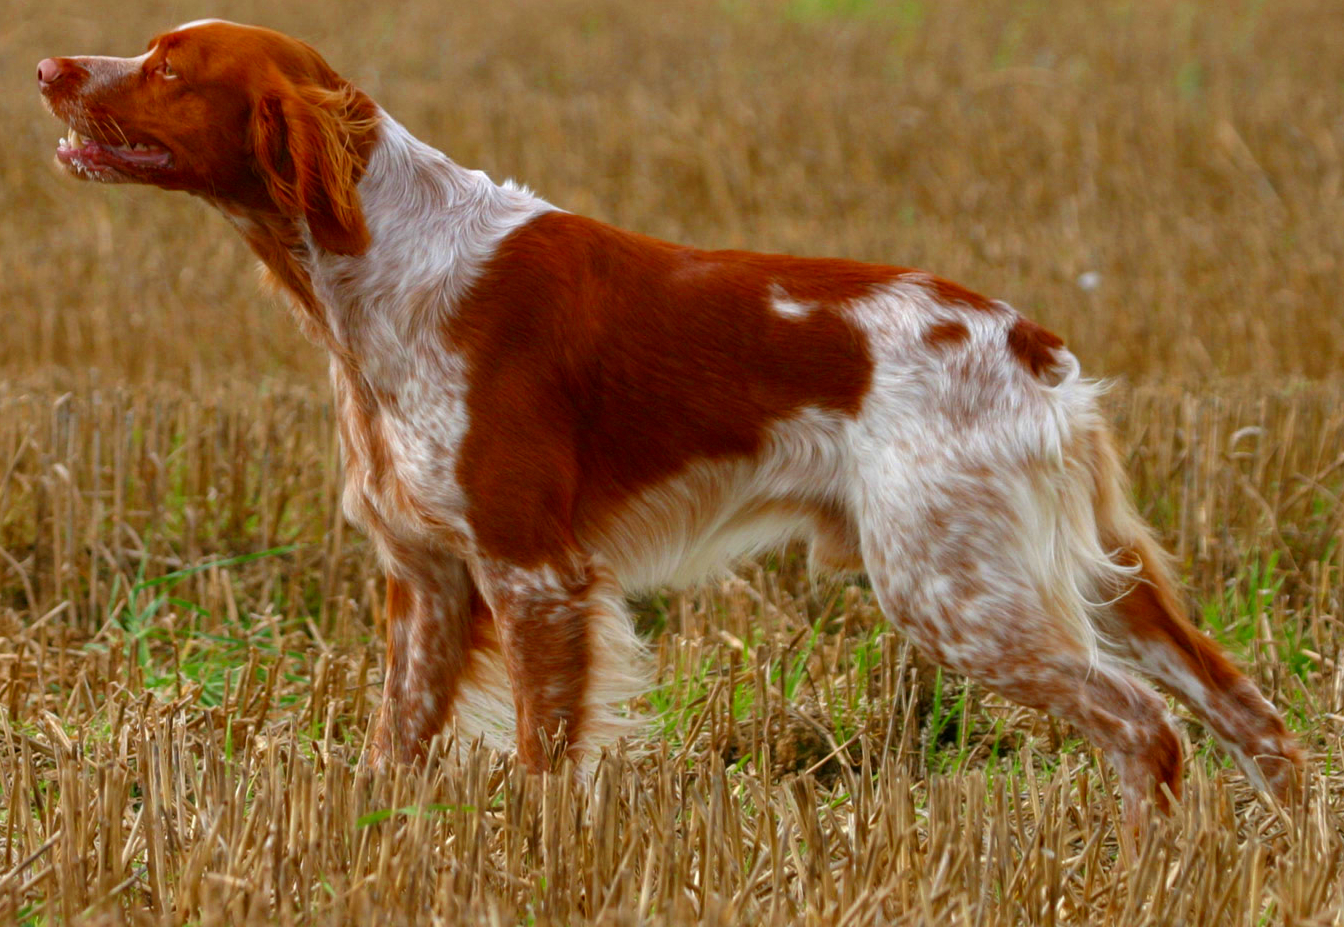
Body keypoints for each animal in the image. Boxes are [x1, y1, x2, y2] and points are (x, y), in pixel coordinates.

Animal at [42, 19, 1300, 816]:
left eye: (170, 65)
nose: (50, 64)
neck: (382, 265)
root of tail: (1031, 344)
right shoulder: (427, 580)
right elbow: (397, 743)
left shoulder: (535, 573)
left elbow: (546, 757)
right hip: (1092, 579)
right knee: (1252, 716)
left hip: (957, 592)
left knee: (1146, 729)